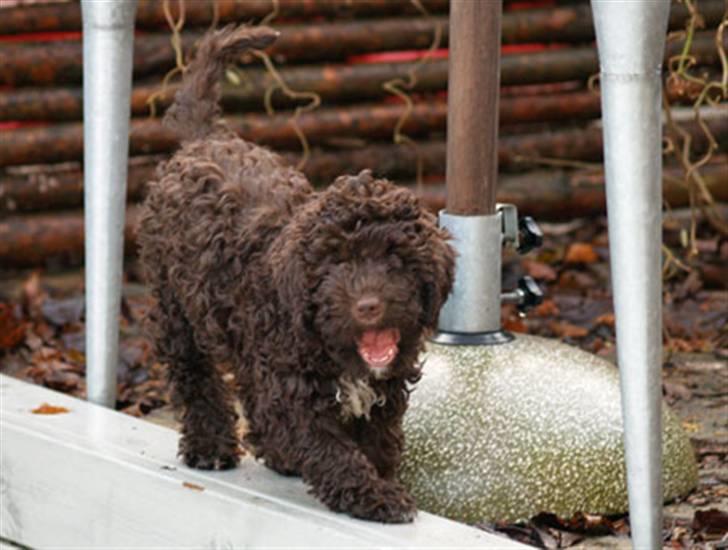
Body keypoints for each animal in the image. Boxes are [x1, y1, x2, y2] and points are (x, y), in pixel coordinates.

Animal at [137, 24, 456, 528]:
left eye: (396, 260)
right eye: (337, 264)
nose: (369, 305)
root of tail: (205, 140)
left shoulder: (382, 391)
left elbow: (378, 440)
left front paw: (380, 479)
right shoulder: (293, 390)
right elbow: (331, 449)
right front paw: (375, 497)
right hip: (173, 302)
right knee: (195, 375)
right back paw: (211, 446)